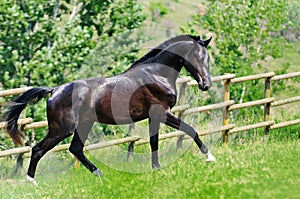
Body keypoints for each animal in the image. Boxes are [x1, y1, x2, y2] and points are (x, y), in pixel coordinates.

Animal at [4, 34, 216, 185]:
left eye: (208, 58)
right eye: (199, 57)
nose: (206, 85)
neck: (156, 75)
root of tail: (54, 91)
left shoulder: (153, 117)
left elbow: (154, 142)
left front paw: (157, 169)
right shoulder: (162, 113)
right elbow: (191, 130)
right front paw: (210, 158)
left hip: (84, 124)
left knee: (75, 149)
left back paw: (100, 175)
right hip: (62, 129)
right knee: (38, 149)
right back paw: (31, 181)